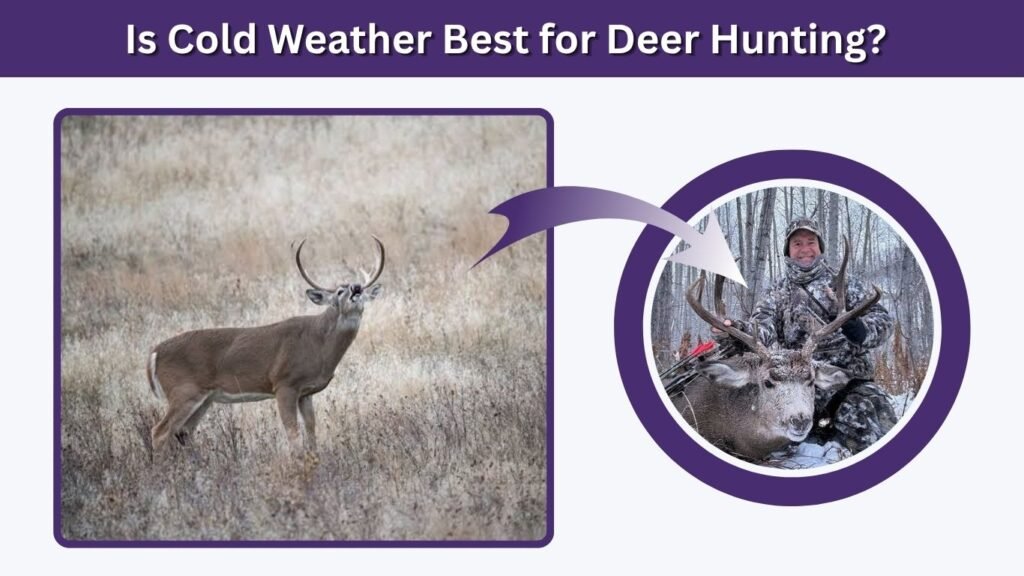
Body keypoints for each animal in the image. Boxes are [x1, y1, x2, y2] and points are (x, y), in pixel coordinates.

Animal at [145, 236, 385, 454]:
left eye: (361, 288)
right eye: (339, 292)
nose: (356, 288)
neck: (319, 344)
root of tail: (154, 353)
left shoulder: (306, 392)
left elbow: (311, 432)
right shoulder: (284, 383)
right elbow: (293, 435)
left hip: (204, 398)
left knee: (184, 431)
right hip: (183, 390)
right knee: (160, 432)